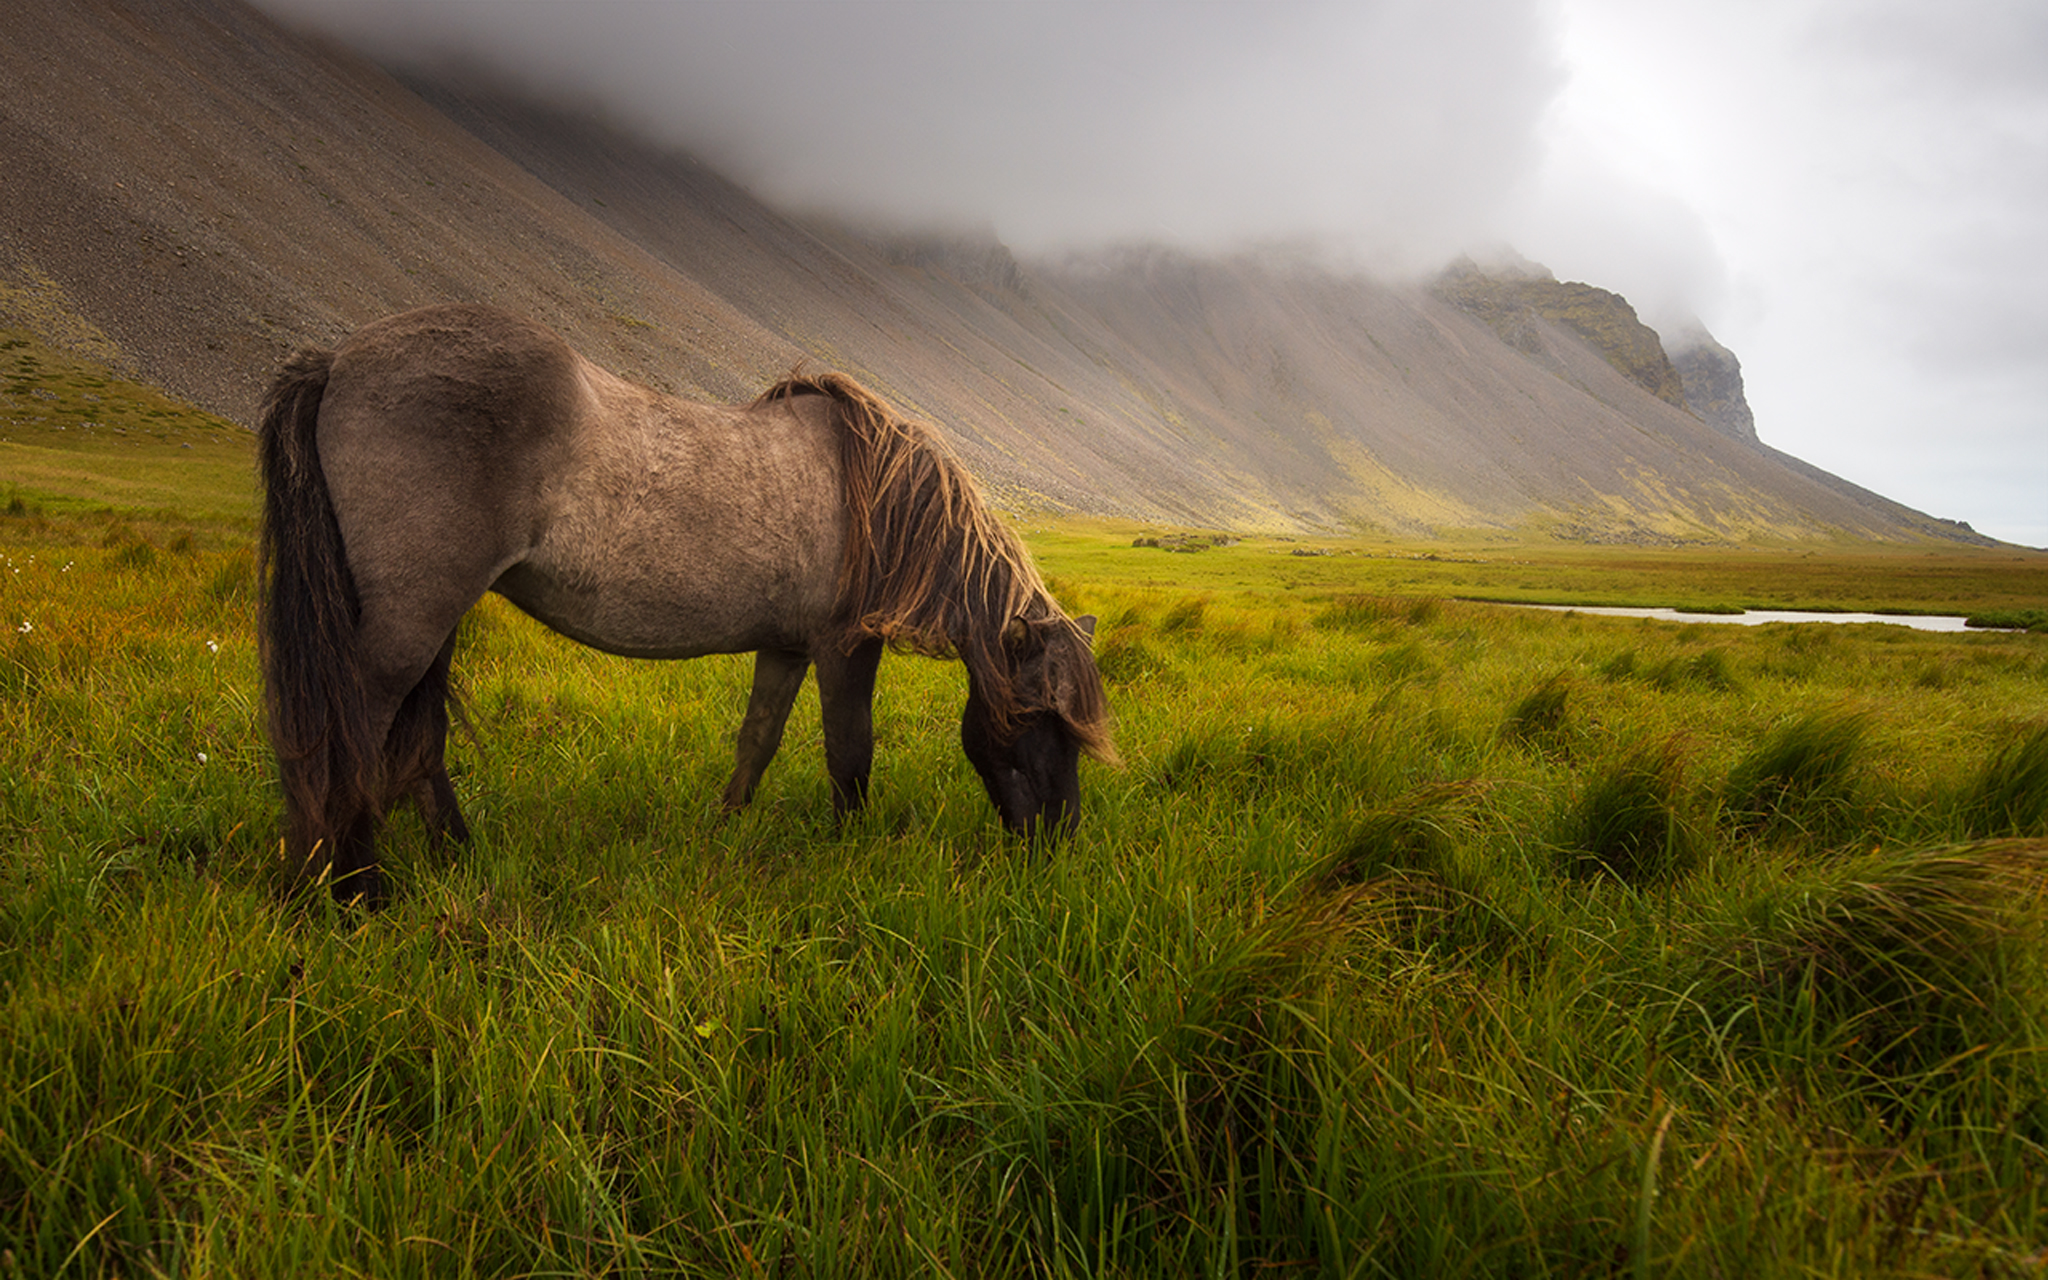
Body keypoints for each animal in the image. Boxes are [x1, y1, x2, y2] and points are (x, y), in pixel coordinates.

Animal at [257, 303, 1114, 908]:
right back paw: (355, 887)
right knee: (357, 730)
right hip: (412, 623)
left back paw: (454, 856)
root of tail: (337, 360)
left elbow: (757, 740)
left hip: (433, 621)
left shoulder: (787, 646)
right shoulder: (843, 646)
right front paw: (848, 851)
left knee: (420, 738)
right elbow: (850, 751)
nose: (1060, 848)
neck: (879, 495)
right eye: (1038, 717)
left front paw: (725, 828)